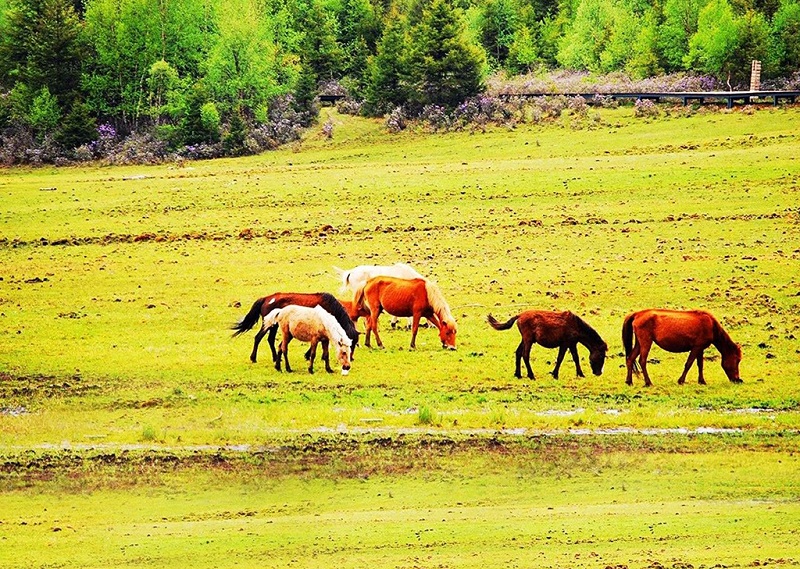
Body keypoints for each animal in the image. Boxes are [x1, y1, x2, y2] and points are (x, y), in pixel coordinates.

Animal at [230, 290, 358, 362]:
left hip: (274, 326)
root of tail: (266, 298)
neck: (330, 307)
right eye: (350, 345)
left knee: (270, 339)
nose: (351, 358)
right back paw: (253, 358)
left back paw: (276, 358)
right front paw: (308, 355)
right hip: (268, 325)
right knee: (258, 337)